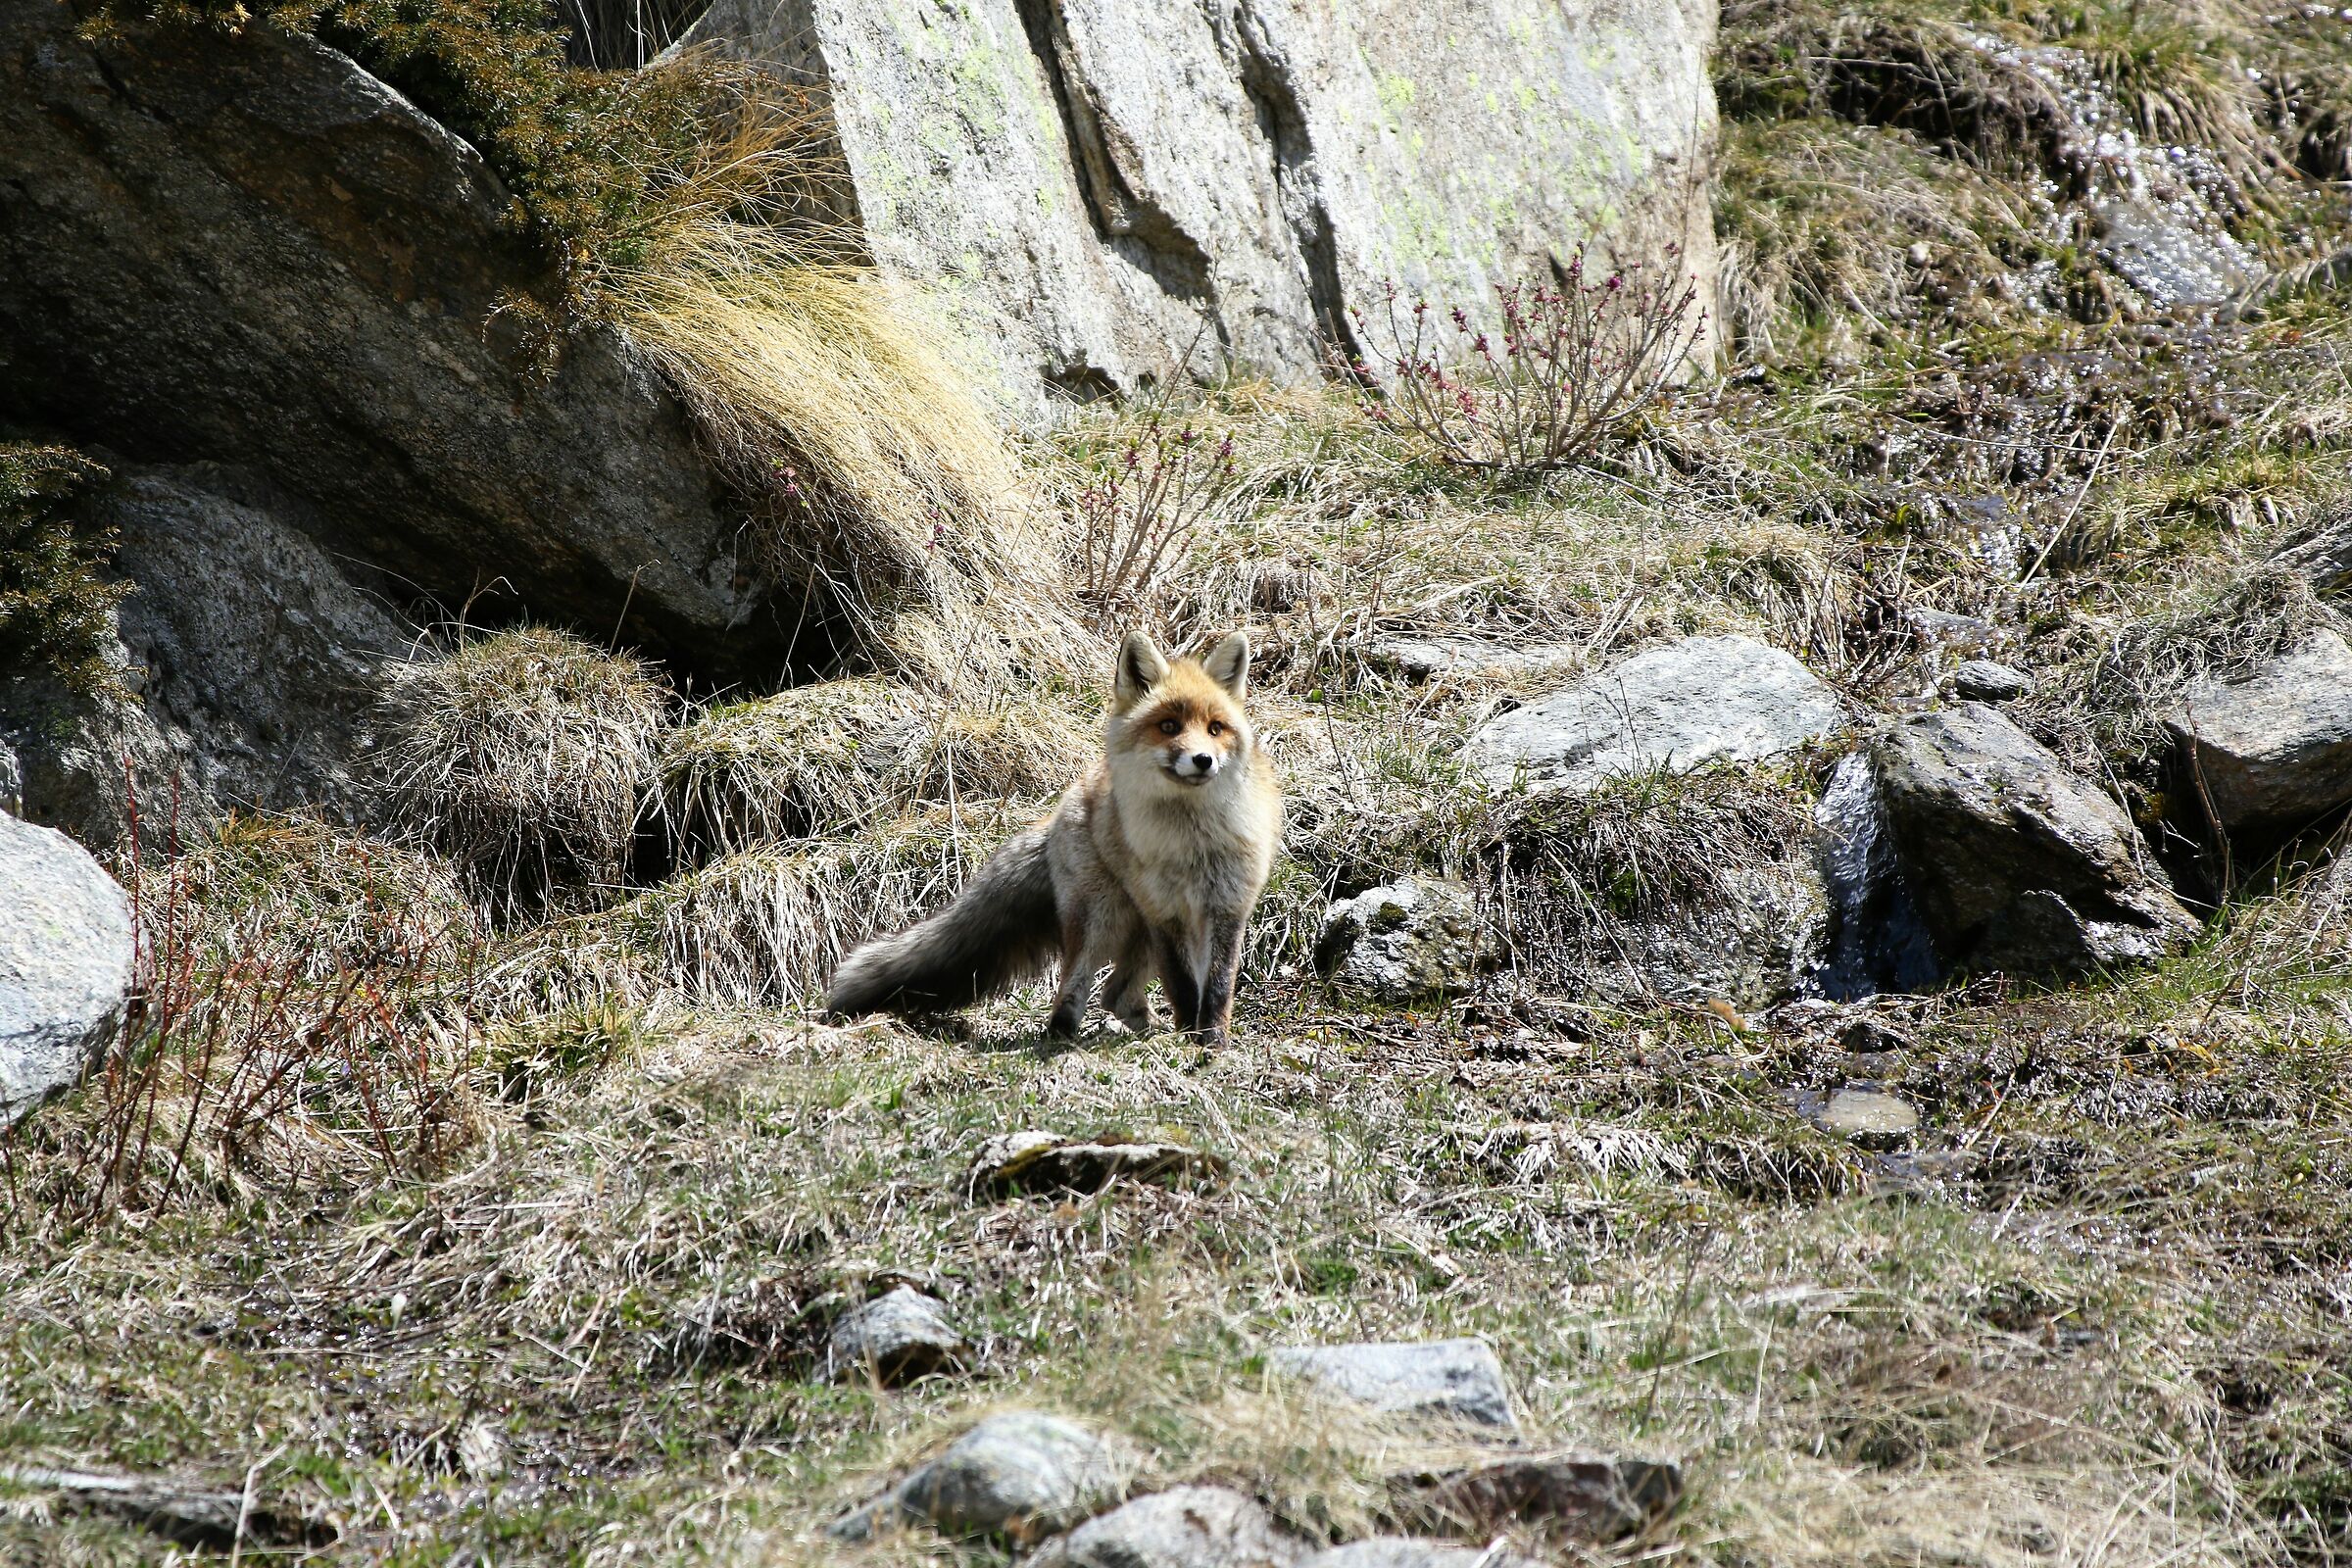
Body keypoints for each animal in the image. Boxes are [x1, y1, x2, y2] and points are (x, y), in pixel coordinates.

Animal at [825, 630, 1282, 1046]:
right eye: (1169, 726)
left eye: (1215, 728)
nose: (1203, 760)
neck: (1192, 843)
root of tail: (1068, 799)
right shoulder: (1165, 913)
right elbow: (1184, 985)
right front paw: (1191, 1041)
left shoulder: (1226, 906)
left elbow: (1217, 985)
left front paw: (1213, 1041)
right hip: (1103, 918)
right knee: (1075, 986)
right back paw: (1063, 1035)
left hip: (1136, 931)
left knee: (1115, 994)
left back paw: (1143, 1030)